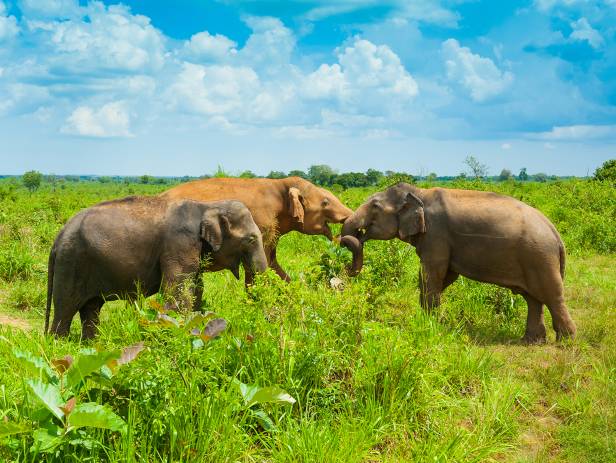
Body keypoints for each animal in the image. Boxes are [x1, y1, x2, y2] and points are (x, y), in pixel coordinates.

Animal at [45, 195, 268, 338]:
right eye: (250, 239)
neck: (207, 206)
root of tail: (57, 238)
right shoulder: (179, 245)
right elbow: (177, 293)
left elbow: (196, 290)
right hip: (70, 264)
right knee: (65, 309)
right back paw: (60, 344)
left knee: (91, 308)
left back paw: (92, 345)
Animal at [342, 182, 576, 344]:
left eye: (375, 206)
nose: (346, 268)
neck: (419, 193)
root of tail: (556, 234)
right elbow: (443, 276)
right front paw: (426, 318)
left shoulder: (436, 234)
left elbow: (433, 274)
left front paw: (429, 324)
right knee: (533, 299)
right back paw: (531, 341)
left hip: (540, 257)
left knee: (552, 297)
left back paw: (566, 342)